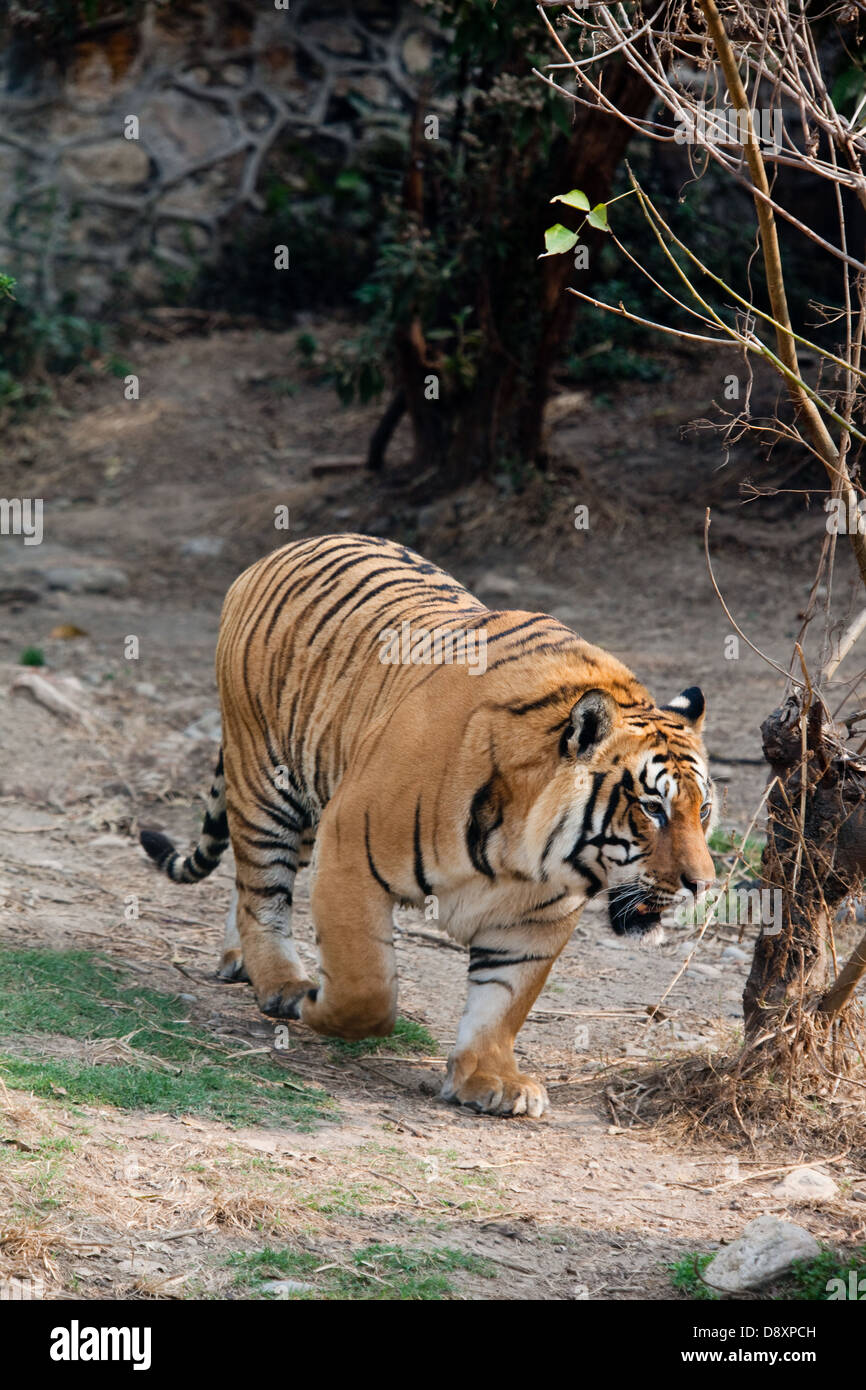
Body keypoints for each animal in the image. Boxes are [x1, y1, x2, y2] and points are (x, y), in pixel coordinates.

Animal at [139, 530, 717, 1117]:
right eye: (652, 807)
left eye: (703, 810)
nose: (703, 885)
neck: (529, 856)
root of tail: (290, 545)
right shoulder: (349, 853)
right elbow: (366, 987)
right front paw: (316, 1005)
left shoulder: (535, 919)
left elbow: (502, 1002)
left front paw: (491, 1080)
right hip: (268, 784)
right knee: (263, 889)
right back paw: (281, 982)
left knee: (246, 882)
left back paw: (242, 960)